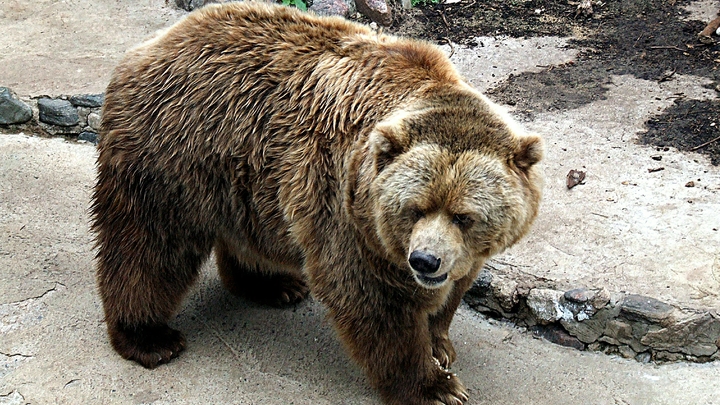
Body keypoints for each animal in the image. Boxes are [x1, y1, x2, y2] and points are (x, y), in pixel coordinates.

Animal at [90, 1, 540, 402]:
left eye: (464, 216)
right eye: (414, 208)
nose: (425, 261)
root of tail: (152, 44)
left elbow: (455, 286)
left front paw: (440, 343)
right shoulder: (346, 208)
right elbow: (372, 299)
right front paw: (434, 386)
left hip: (247, 178)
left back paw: (273, 284)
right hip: (174, 151)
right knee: (149, 245)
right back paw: (149, 336)